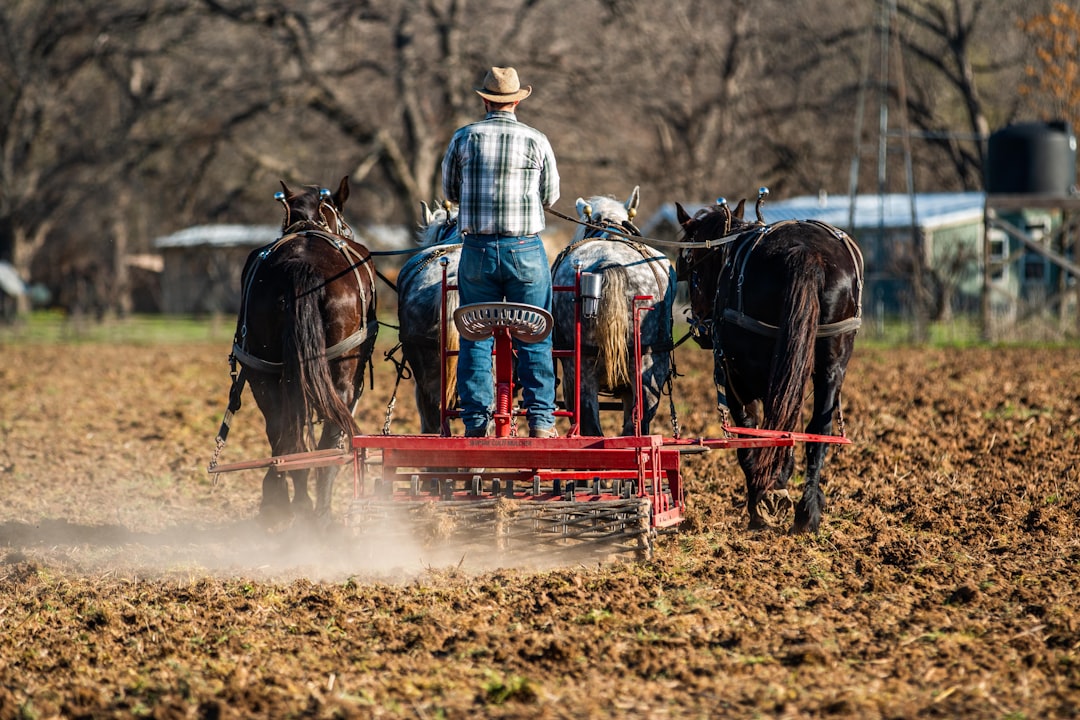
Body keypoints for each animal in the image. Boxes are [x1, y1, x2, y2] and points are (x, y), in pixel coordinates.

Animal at [230, 177, 378, 526]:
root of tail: (301, 263)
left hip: (263, 373)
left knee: (284, 435)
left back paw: (289, 505)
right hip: (343, 374)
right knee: (330, 437)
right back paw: (320, 515)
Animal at [678, 191, 864, 535]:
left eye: (693, 272)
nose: (702, 327)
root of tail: (807, 253)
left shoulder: (735, 378)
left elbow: (748, 432)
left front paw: (763, 496)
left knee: (772, 425)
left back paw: (766, 500)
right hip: (831, 364)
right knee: (816, 428)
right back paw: (808, 512)